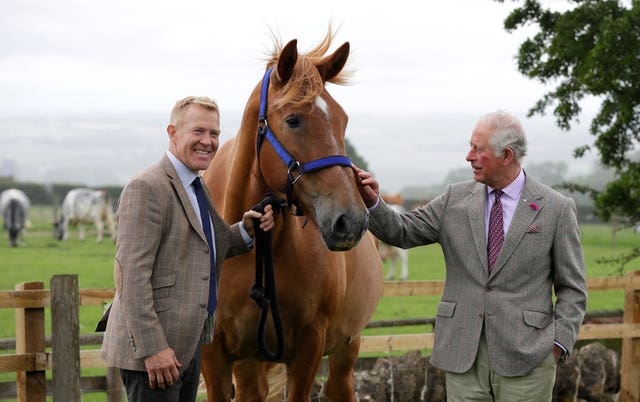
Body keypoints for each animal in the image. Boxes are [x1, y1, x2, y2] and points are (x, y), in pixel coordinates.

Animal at [201, 32, 380, 402]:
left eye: (342, 120)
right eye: (293, 119)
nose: (351, 221)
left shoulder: (308, 348)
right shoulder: (214, 355)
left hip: (346, 347)